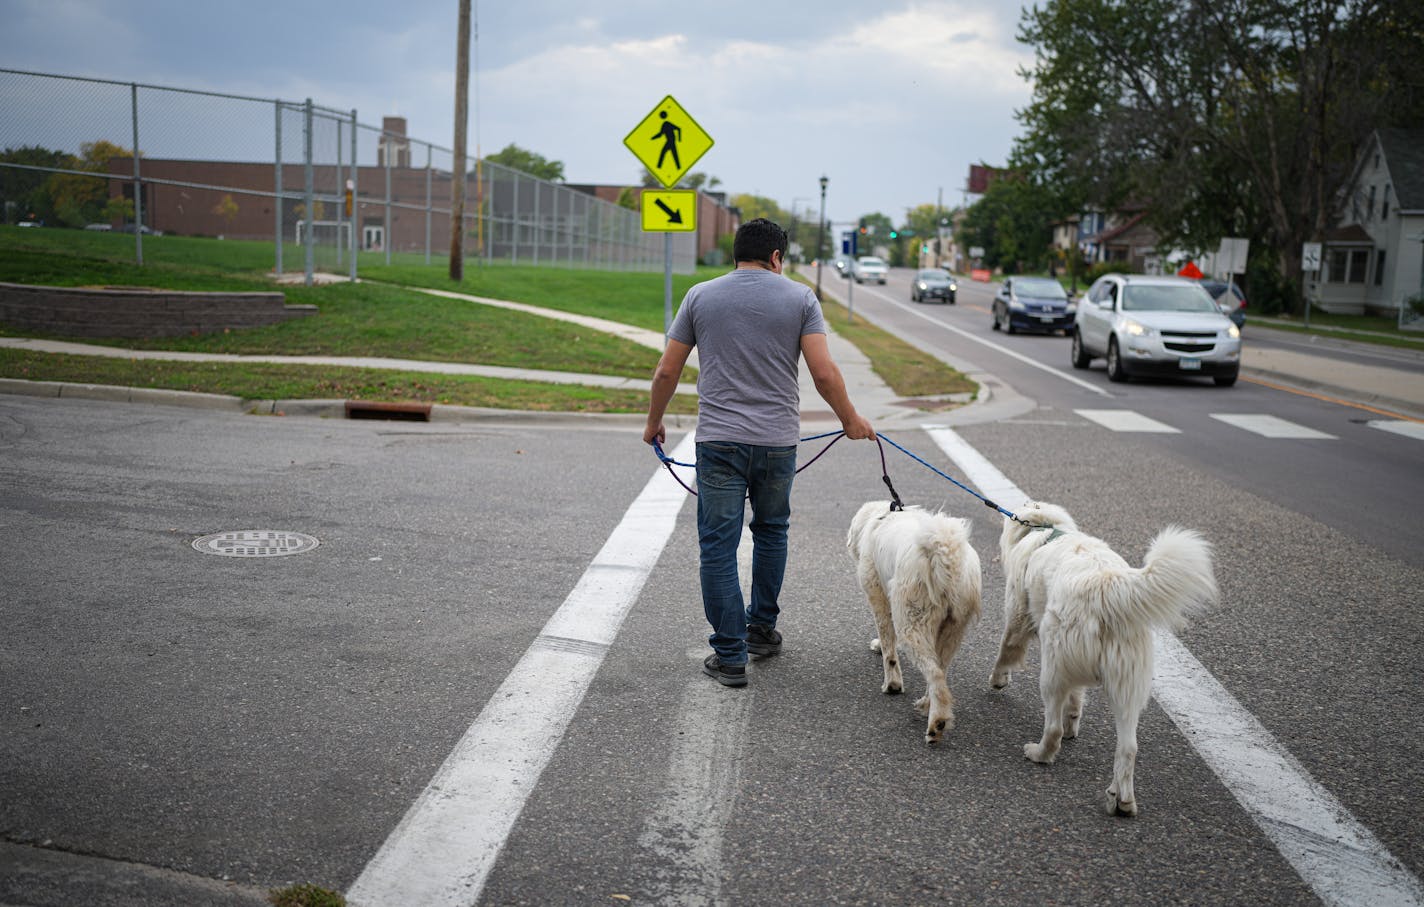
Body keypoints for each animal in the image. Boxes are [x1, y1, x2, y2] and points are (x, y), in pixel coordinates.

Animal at [843, 501, 979, 740]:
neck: (880, 516)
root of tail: (944, 553)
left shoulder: (879, 595)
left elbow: (888, 645)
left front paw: (892, 684)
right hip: (953, 628)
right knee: (940, 670)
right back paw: (927, 705)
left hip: (912, 621)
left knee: (934, 673)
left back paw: (936, 724)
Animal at [991, 498, 1213, 814]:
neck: (1046, 530)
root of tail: (1108, 587)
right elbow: (1077, 699)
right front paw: (1073, 723)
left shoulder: (1017, 616)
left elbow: (1005, 650)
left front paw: (997, 680)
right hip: (1127, 687)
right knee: (1128, 748)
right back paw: (1122, 800)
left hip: (1052, 667)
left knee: (1053, 728)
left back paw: (1039, 753)